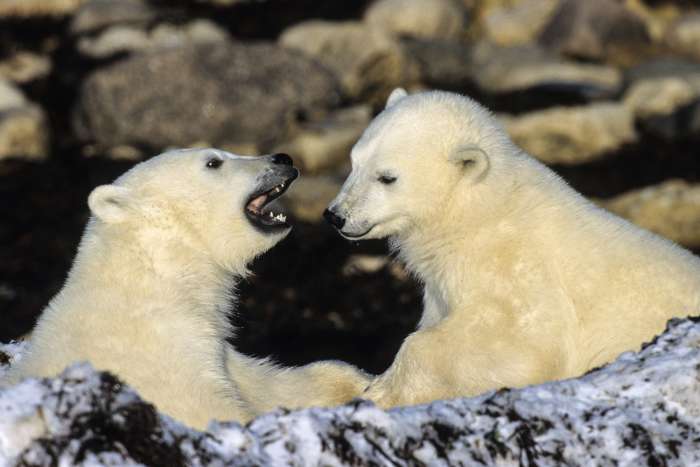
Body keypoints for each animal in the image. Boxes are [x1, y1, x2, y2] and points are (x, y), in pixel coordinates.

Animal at [324, 88, 700, 410]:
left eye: (387, 177)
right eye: (354, 161)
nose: (336, 216)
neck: (477, 210)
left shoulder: (517, 268)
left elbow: (529, 344)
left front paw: (381, 390)